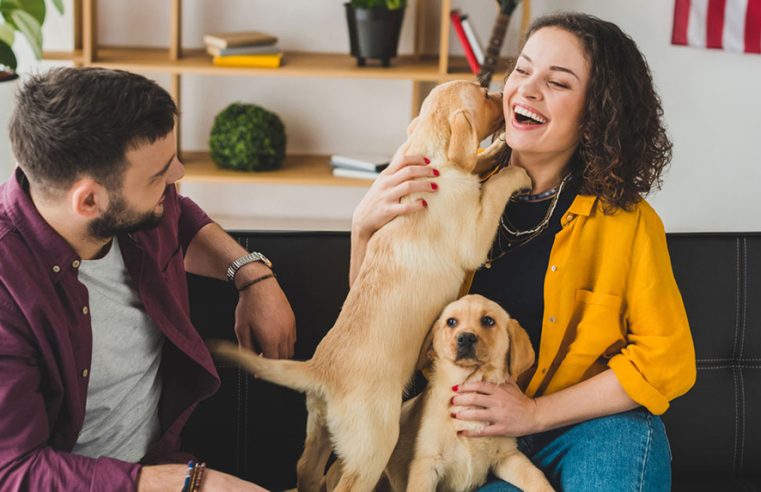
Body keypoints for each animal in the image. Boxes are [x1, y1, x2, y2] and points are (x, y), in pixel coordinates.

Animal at [208, 81, 528, 492]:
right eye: (485, 95)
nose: (503, 93)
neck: (429, 153)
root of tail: (320, 370)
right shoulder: (473, 234)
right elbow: (493, 188)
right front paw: (515, 169)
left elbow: (478, 163)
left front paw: (497, 149)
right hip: (375, 441)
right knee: (347, 483)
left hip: (320, 427)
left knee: (307, 469)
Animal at [386, 296, 552, 492]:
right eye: (451, 322)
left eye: (488, 320)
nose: (465, 337)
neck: (469, 380)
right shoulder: (426, 464)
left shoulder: (507, 455)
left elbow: (535, 476)